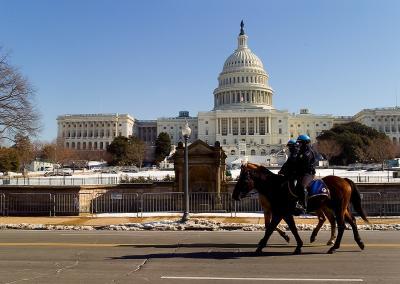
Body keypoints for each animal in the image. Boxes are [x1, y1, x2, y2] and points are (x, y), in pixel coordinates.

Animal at [231, 163, 368, 254]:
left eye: (243, 179)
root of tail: (344, 180)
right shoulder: (282, 213)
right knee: (351, 221)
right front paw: (297, 245)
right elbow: (291, 228)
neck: (276, 186)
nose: (234, 195)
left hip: (338, 208)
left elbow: (270, 228)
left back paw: (334, 247)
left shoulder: (279, 213)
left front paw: (260, 246)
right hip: (340, 208)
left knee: (340, 224)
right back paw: (359, 243)